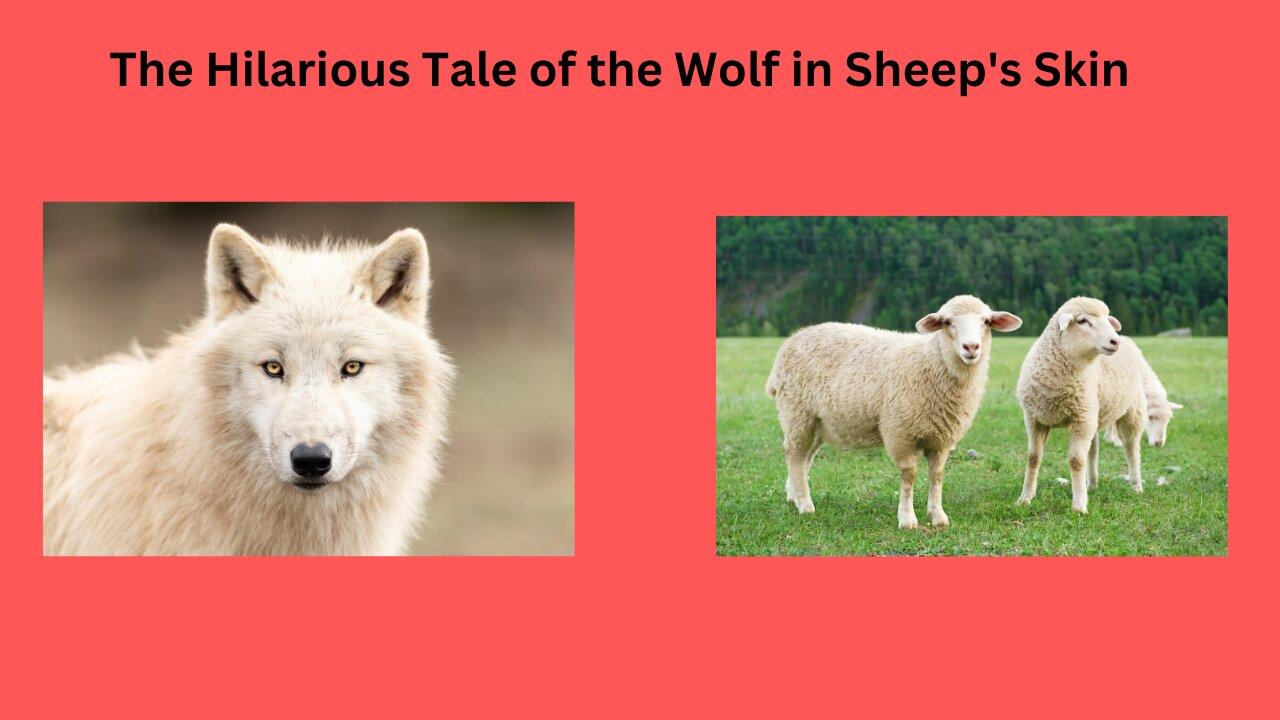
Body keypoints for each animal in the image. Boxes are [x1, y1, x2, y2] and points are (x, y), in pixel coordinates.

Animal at [765, 295, 1022, 528]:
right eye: (947, 322)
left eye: (986, 321)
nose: (971, 347)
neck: (931, 362)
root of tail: (793, 339)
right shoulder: (901, 433)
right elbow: (909, 476)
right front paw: (907, 519)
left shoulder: (942, 439)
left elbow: (937, 476)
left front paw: (938, 516)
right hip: (797, 413)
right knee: (795, 454)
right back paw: (804, 504)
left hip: (819, 422)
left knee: (804, 458)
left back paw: (793, 495)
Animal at [1015, 297, 1146, 514]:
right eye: (1083, 321)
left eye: (1107, 320)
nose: (1115, 341)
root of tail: (1128, 339)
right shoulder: (1034, 418)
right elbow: (1033, 457)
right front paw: (1025, 498)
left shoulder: (1081, 419)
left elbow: (1076, 461)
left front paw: (1078, 506)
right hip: (1093, 413)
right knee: (1093, 449)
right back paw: (1091, 484)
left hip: (1131, 409)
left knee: (1131, 447)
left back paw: (1136, 486)